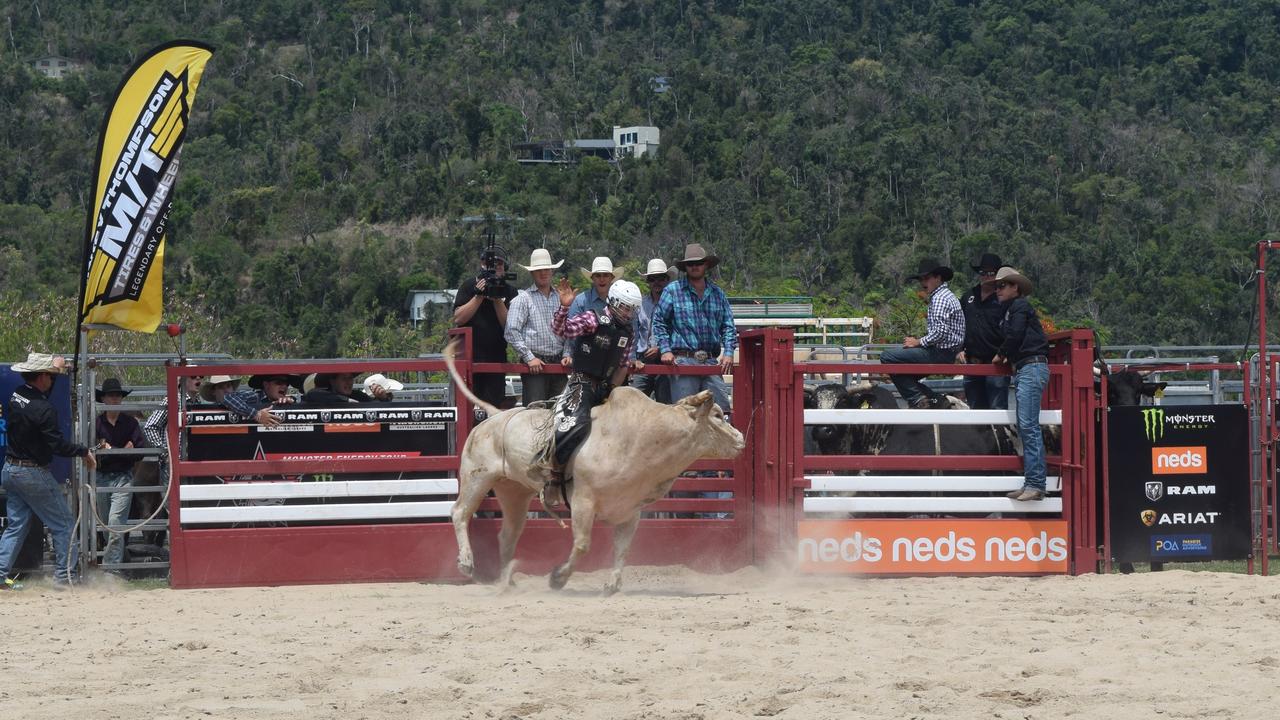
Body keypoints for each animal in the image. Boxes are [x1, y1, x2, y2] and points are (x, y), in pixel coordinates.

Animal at [445, 338, 747, 591]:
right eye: (717, 415)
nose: (740, 439)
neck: (641, 437)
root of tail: (495, 415)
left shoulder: (630, 511)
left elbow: (623, 549)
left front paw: (612, 585)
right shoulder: (583, 501)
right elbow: (582, 544)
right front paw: (558, 578)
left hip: (514, 491)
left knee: (508, 534)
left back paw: (508, 582)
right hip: (476, 476)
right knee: (460, 512)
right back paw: (466, 563)